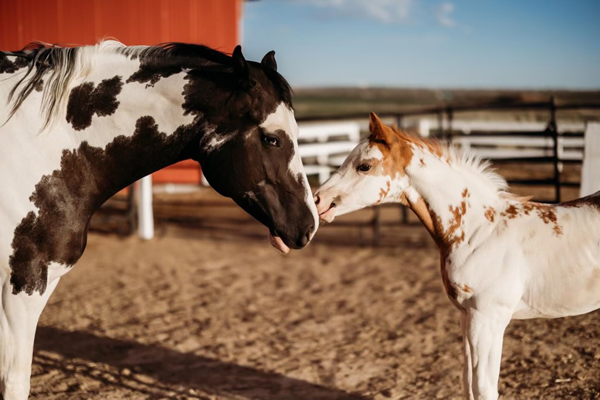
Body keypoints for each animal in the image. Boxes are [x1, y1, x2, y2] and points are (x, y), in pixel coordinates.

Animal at [316, 112, 596, 400]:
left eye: (364, 166)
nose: (317, 200)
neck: (480, 231)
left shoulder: (488, 319)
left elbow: (484, 389)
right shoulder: (467, 317)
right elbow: (468, 383)